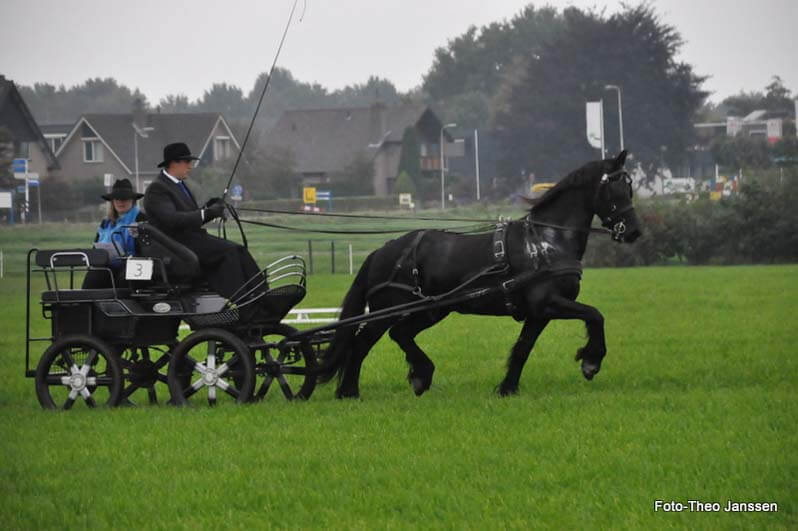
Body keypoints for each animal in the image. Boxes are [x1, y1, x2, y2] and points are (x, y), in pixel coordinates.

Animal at [317, 151, 641, 398]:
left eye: (630, 188)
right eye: (615, 189)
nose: (634, 232)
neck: (545, 241)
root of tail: (383, 250)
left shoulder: (538, 313)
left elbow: (523, 348)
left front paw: (507, 389)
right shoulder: (549, 303)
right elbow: (595, 315)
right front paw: (591, 361)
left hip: (432, 310)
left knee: (400, 334)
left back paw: (418, 376)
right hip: (388, 309)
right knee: (362, 342)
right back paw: (350, 391)